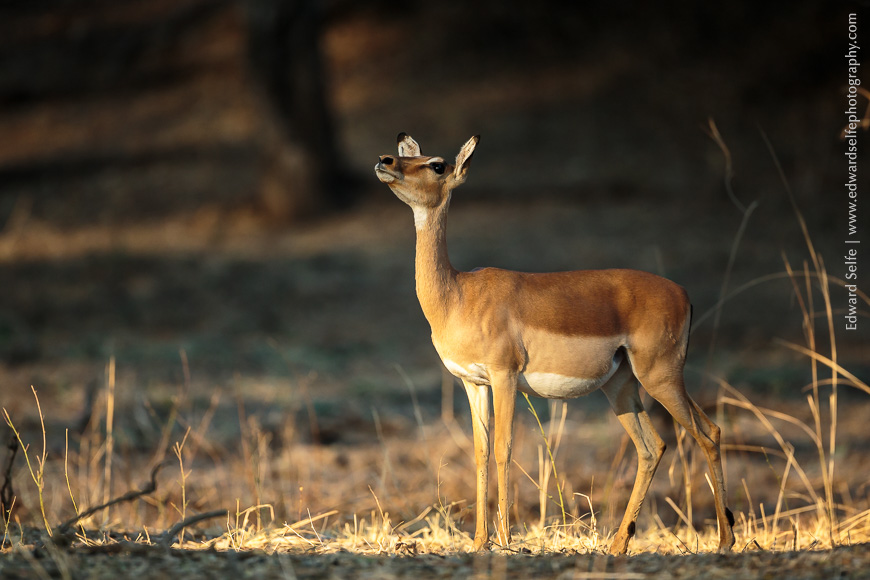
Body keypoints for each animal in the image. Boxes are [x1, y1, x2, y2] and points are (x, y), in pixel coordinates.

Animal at [374, 133, 735, 555]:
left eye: (436, 165)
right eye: (411, 155)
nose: (385, 161)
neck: (457, 294)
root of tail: (683, 294)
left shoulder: (504, 375)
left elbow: (504, 447)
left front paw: (505, 540)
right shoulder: (473, 382)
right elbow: (481, 452)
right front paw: (479, 542)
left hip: (660, 377)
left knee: (708, 432)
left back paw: (724, 541)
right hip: (622, 386)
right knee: (654, 446)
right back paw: (618, 545)